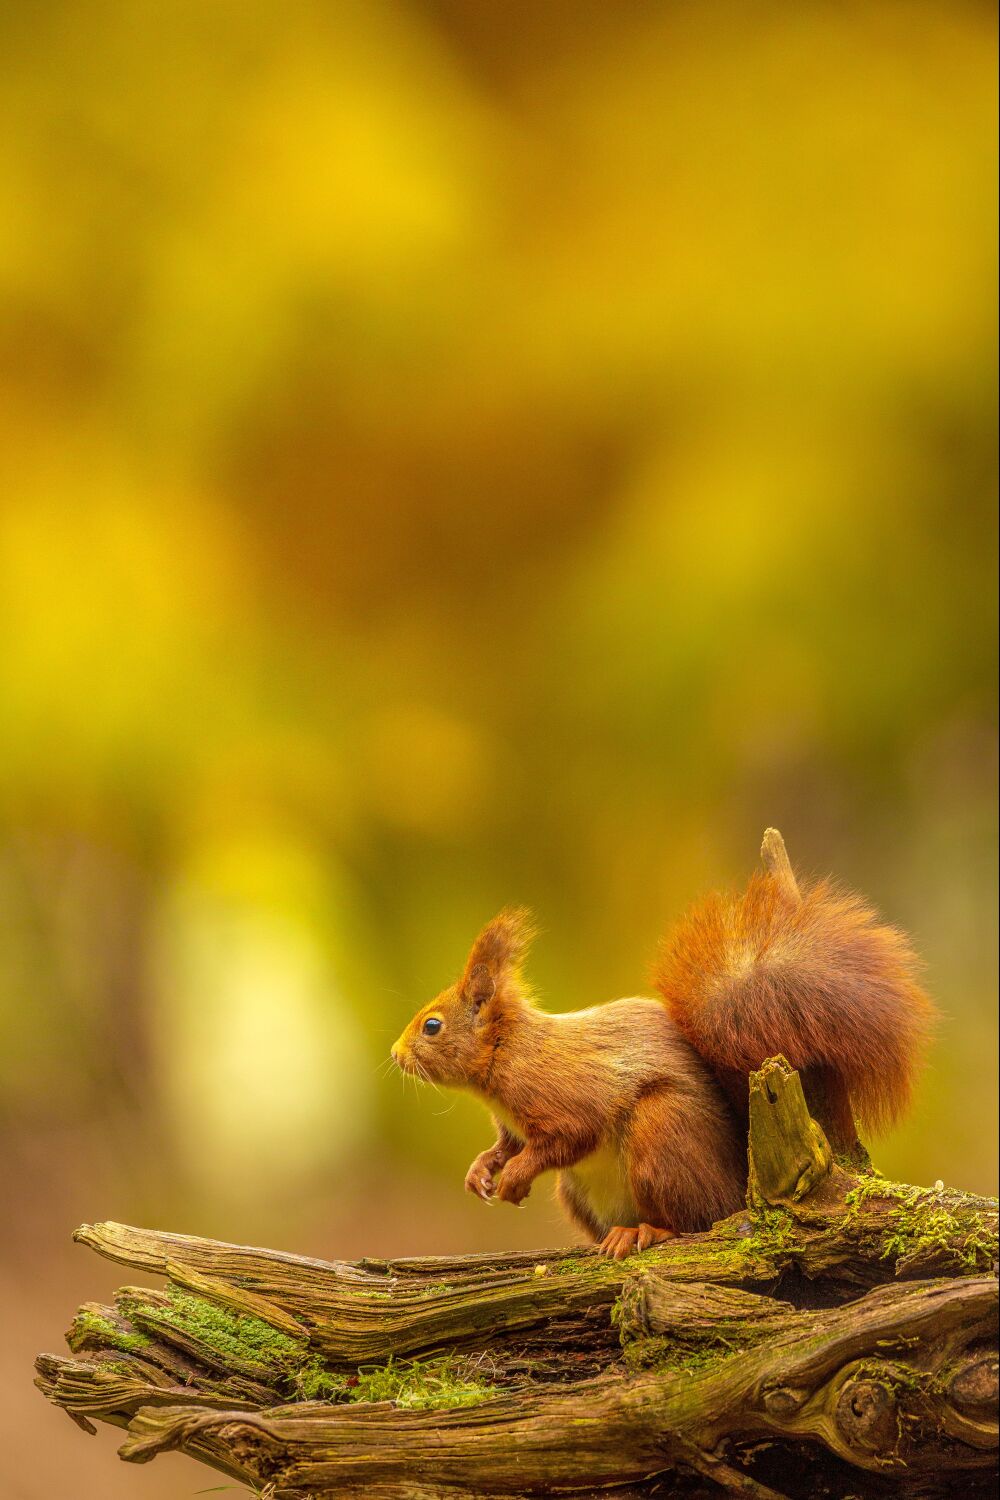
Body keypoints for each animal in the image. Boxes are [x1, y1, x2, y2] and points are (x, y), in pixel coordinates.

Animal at [392, 834, 941, 1254]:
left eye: (432, 1026)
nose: (395, 1055)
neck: (508, 1055)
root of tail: (735, 1190)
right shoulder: (512, 1124)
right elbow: (507, 1145)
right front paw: (482, 1170)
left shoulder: (562, 1092)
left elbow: (569, 1136)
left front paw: (513, 1176)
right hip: (580, 1191)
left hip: (660, 1134)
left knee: (689, 1221)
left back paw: (646, 1231)